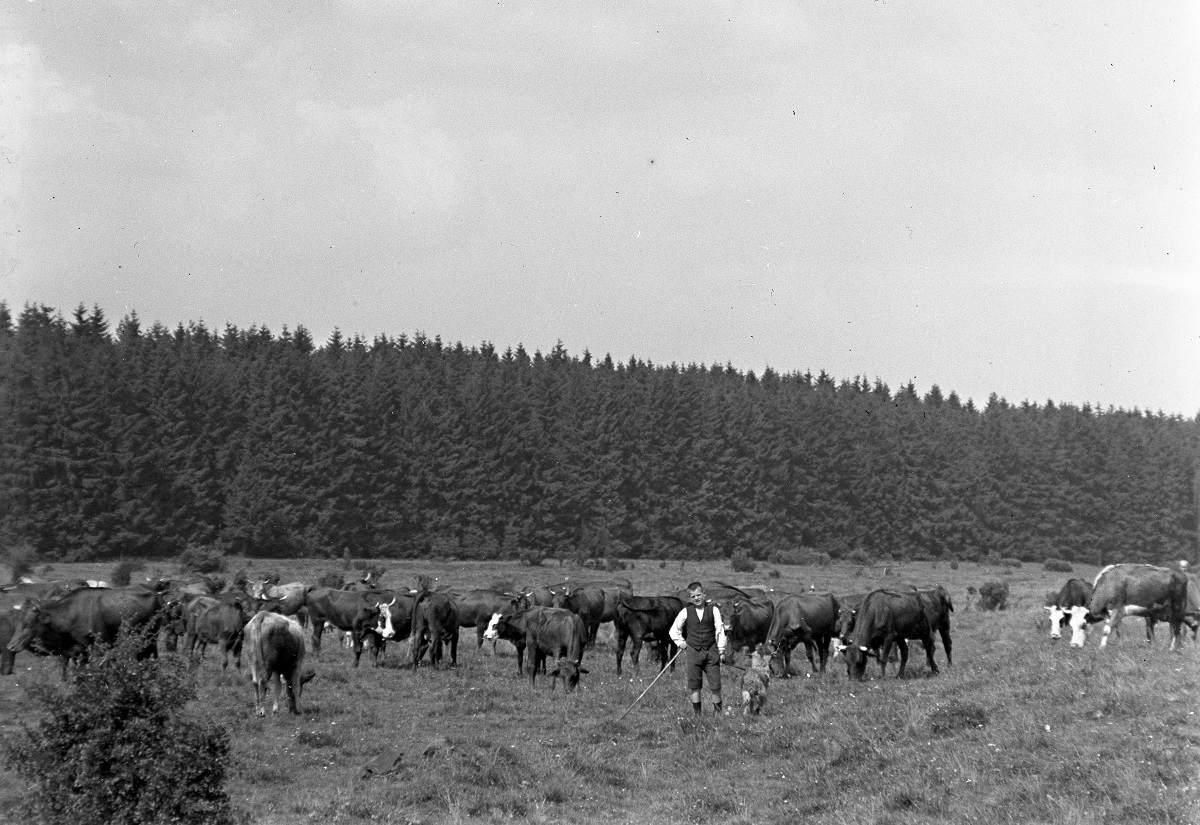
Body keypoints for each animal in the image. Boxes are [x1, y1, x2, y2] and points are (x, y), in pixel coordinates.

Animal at [4, 582, 162, 681]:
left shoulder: (101, 648)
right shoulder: (75, 652)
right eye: (18, 622)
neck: (70, 614)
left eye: (27, 623)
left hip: (150, 640)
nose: (10, 646)